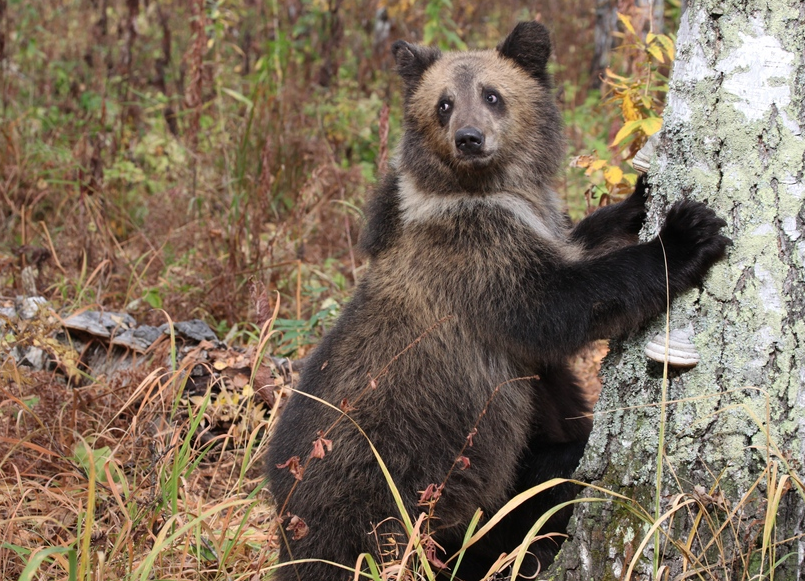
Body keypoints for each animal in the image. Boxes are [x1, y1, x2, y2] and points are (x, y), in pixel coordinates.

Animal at [266, 20, 732, 576]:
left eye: (492, 94)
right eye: (443, 103)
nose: (469, 138)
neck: (490, 191)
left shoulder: (536, 229)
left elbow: (580, 241)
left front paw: (638, 198)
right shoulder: (477, 263)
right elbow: (560, 306)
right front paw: (686, 234)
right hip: (399, 504)